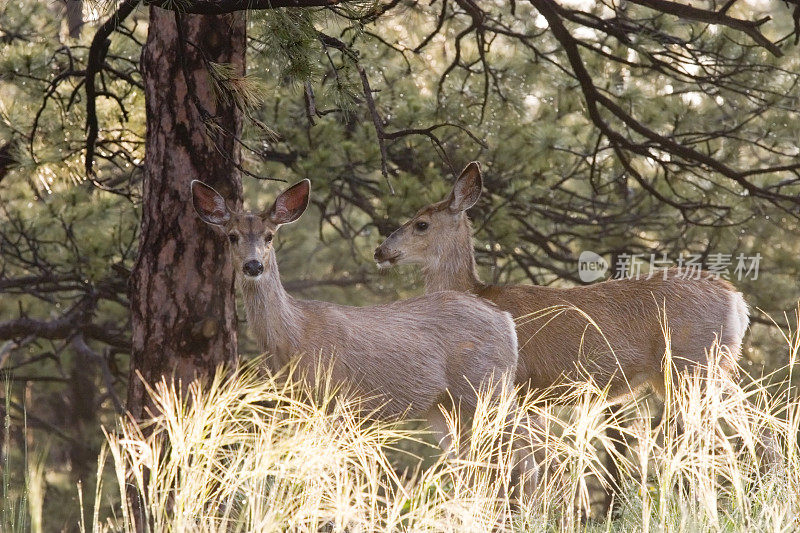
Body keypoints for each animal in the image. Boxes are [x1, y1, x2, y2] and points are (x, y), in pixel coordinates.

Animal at [192, 179, 544, 498]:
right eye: (232, 236)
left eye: (269, 236)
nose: (253, 265)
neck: (294, 335)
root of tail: (505, 321)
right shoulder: (298, 407)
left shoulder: (336, 399)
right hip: (446, 406)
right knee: (475, 465)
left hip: (489, 384)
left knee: (526, 454)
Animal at [376, 161, 780, 502]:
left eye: (421, 224)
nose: (380, 250)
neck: (479, 293)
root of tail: (736, 300)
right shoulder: (530, 397)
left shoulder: (517, 388)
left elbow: (524, 467)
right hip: (697, 370)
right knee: (755, 425)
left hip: (693, 366)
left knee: (726, 435)